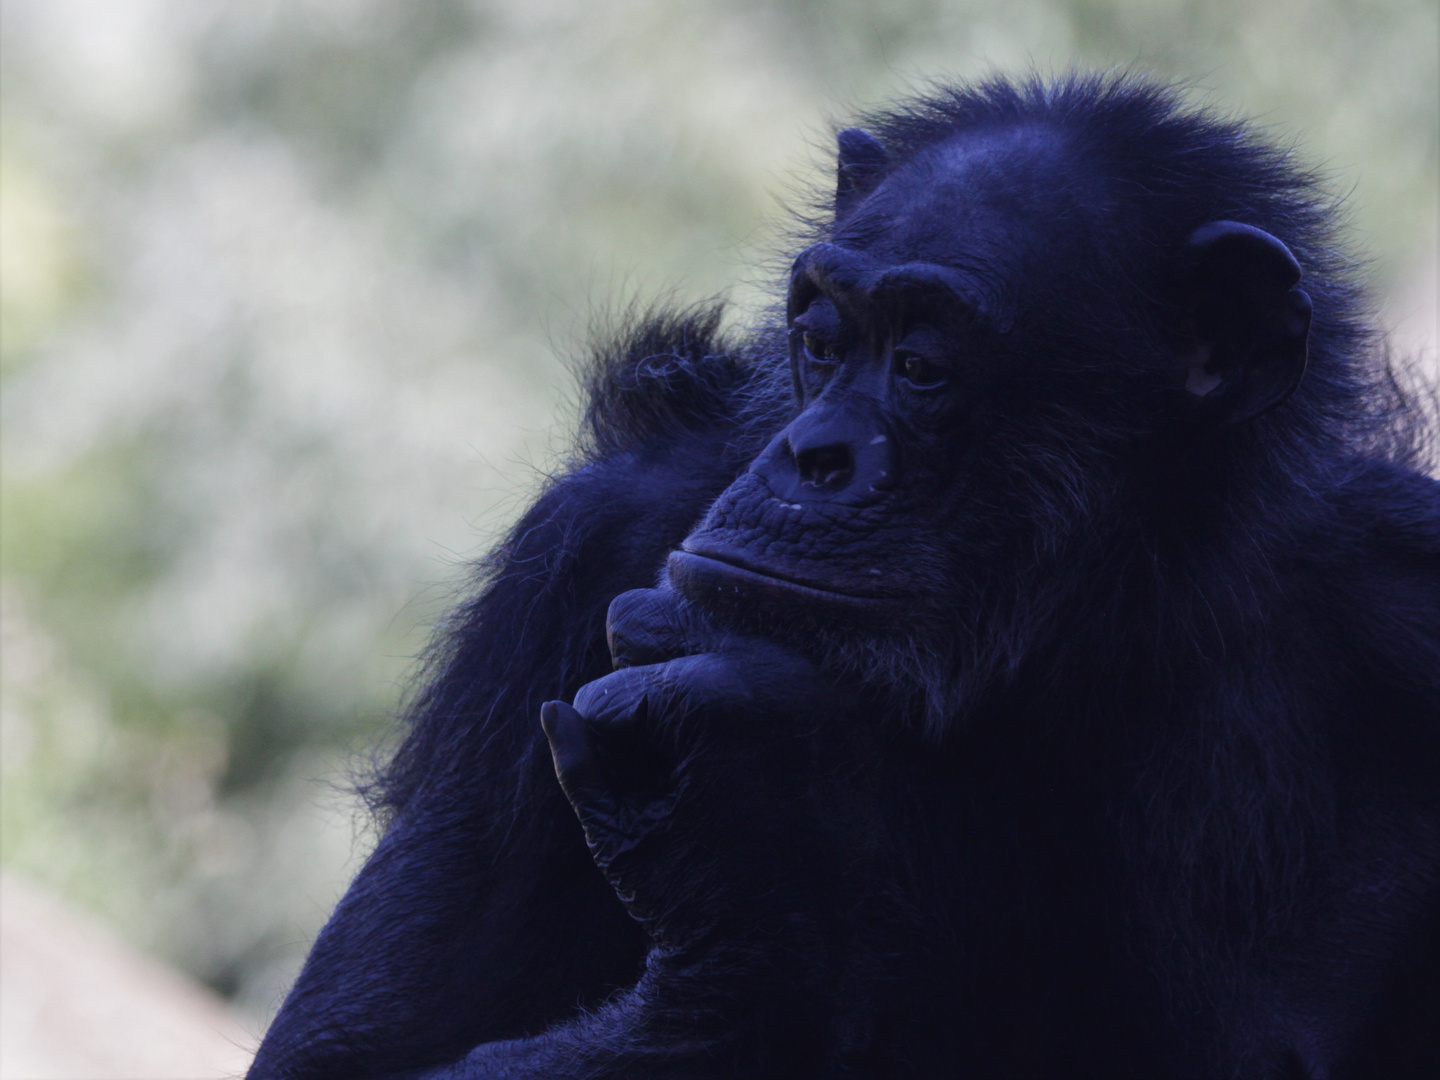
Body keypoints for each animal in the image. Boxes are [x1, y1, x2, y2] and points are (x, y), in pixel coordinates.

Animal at [250, 76, 1440, 1080]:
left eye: (921, 366)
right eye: (824, 338)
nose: (815, 453)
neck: (1073, 632)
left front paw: (765, 815)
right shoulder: (571, 565)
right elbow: (346, 1058)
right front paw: (761, 884)